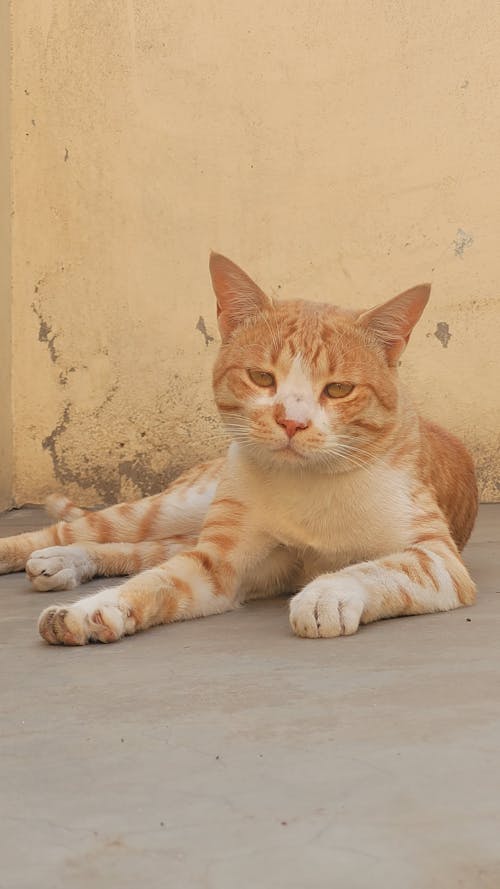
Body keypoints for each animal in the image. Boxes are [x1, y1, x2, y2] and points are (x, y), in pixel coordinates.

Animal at [0, 253, 476, 640]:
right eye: (261, 378)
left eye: (339, 389)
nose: (292, 421)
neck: (305, 484)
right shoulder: (220, 562)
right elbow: (155, 581)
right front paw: (95, 608)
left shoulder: (439, 560)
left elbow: (376, 567)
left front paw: (326, 594)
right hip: (177, 506)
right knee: (95, 532)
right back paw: (48, 552)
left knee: (143, 550)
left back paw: (63, 562)